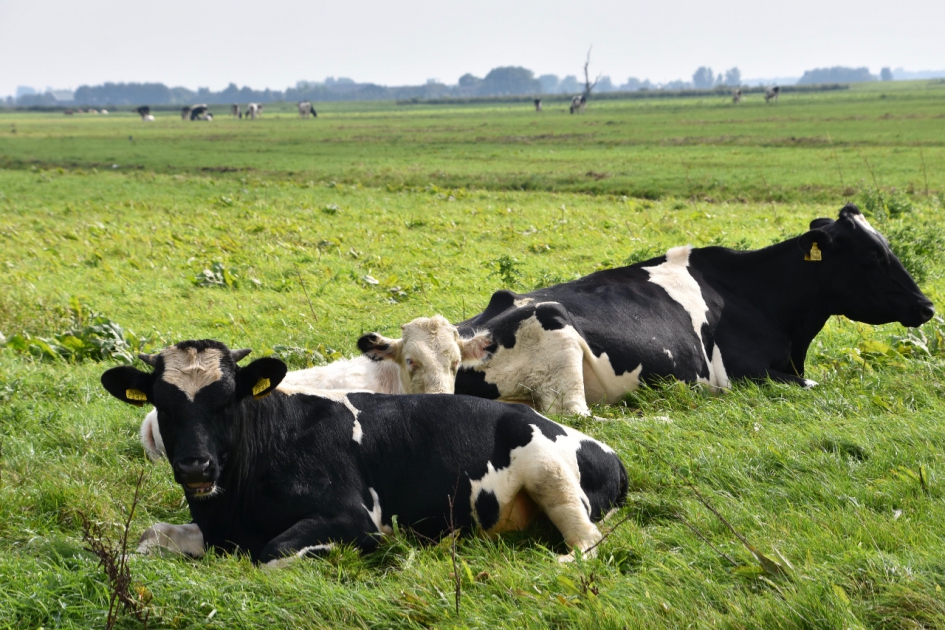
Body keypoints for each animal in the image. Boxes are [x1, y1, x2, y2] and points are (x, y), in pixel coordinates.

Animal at [102, 340, 628, 565]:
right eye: (162, 404)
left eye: (228, 399)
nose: (196, 464)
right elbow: (148, 536)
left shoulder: (353, 517)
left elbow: (272, 554)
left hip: (550, 474)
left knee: (587, 542)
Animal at [453, 204, 934, 416]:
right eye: (873, 257)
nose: (927, 305)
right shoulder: (746, 373)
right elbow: (819, 385)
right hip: (555, 332)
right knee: (577, 413)